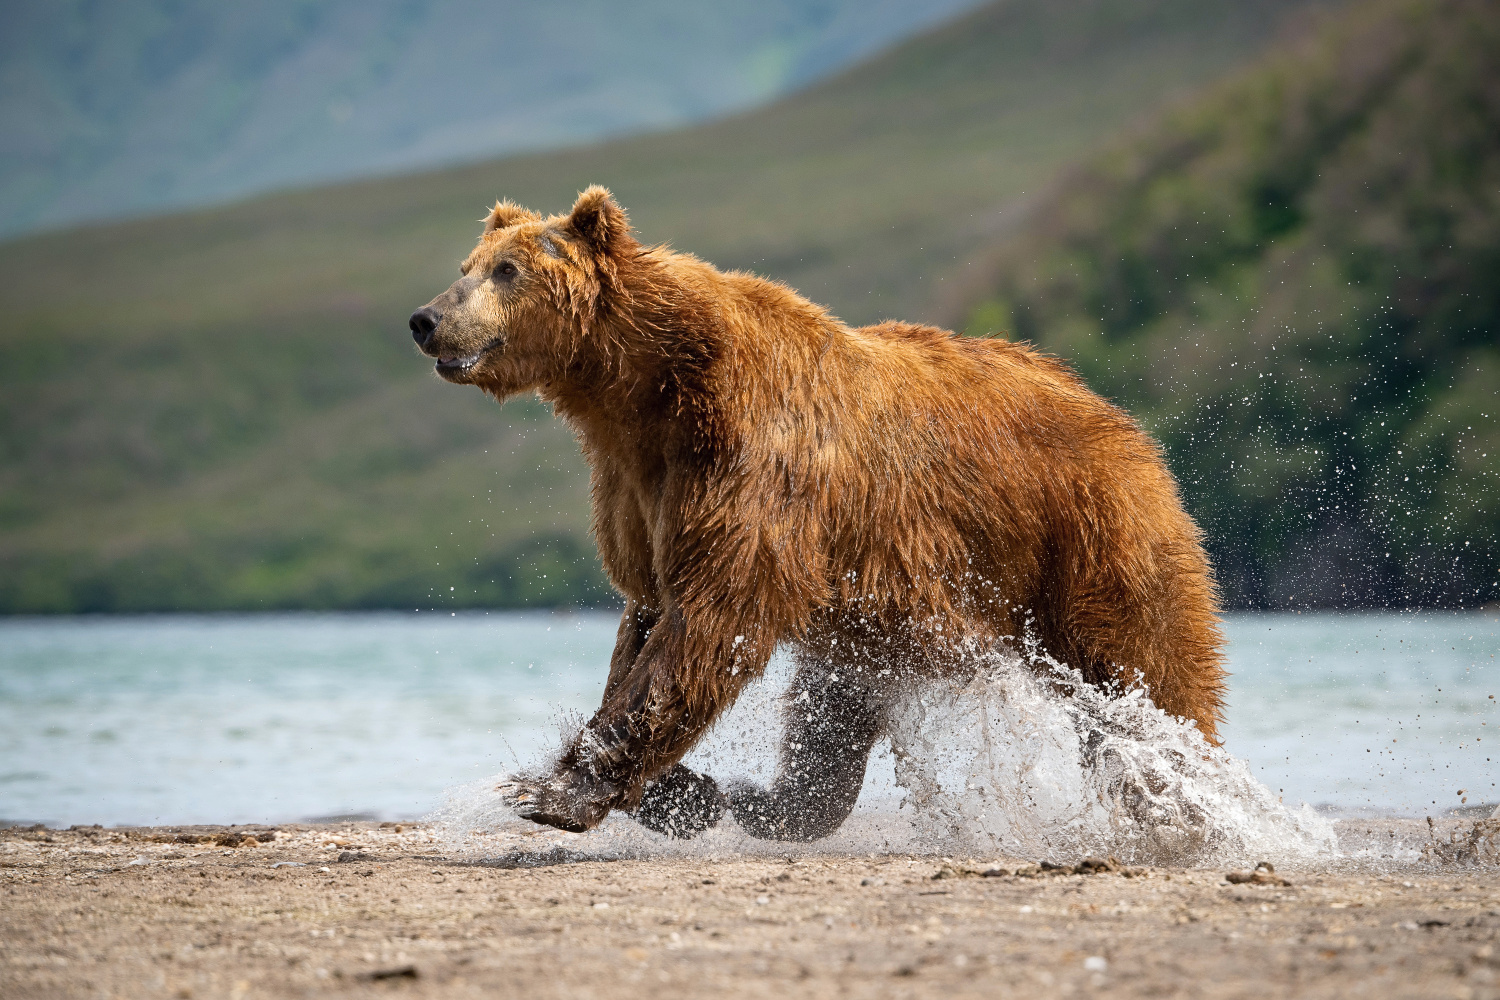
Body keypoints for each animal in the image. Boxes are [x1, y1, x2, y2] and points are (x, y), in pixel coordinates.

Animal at [408, 185, 1218, 839]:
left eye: (507, 270)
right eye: (466, 264)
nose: (426, 319)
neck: (643, 390)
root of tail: (1125, 422)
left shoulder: (747, 465)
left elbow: (709, 622)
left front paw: (551, 791)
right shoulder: (639, 489)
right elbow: (645, 615)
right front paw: (659, 788)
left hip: (1089, 540)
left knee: (1150, 672)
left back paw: (1184, 803)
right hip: (875, 624)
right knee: (827, 731)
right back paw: (743, 800)